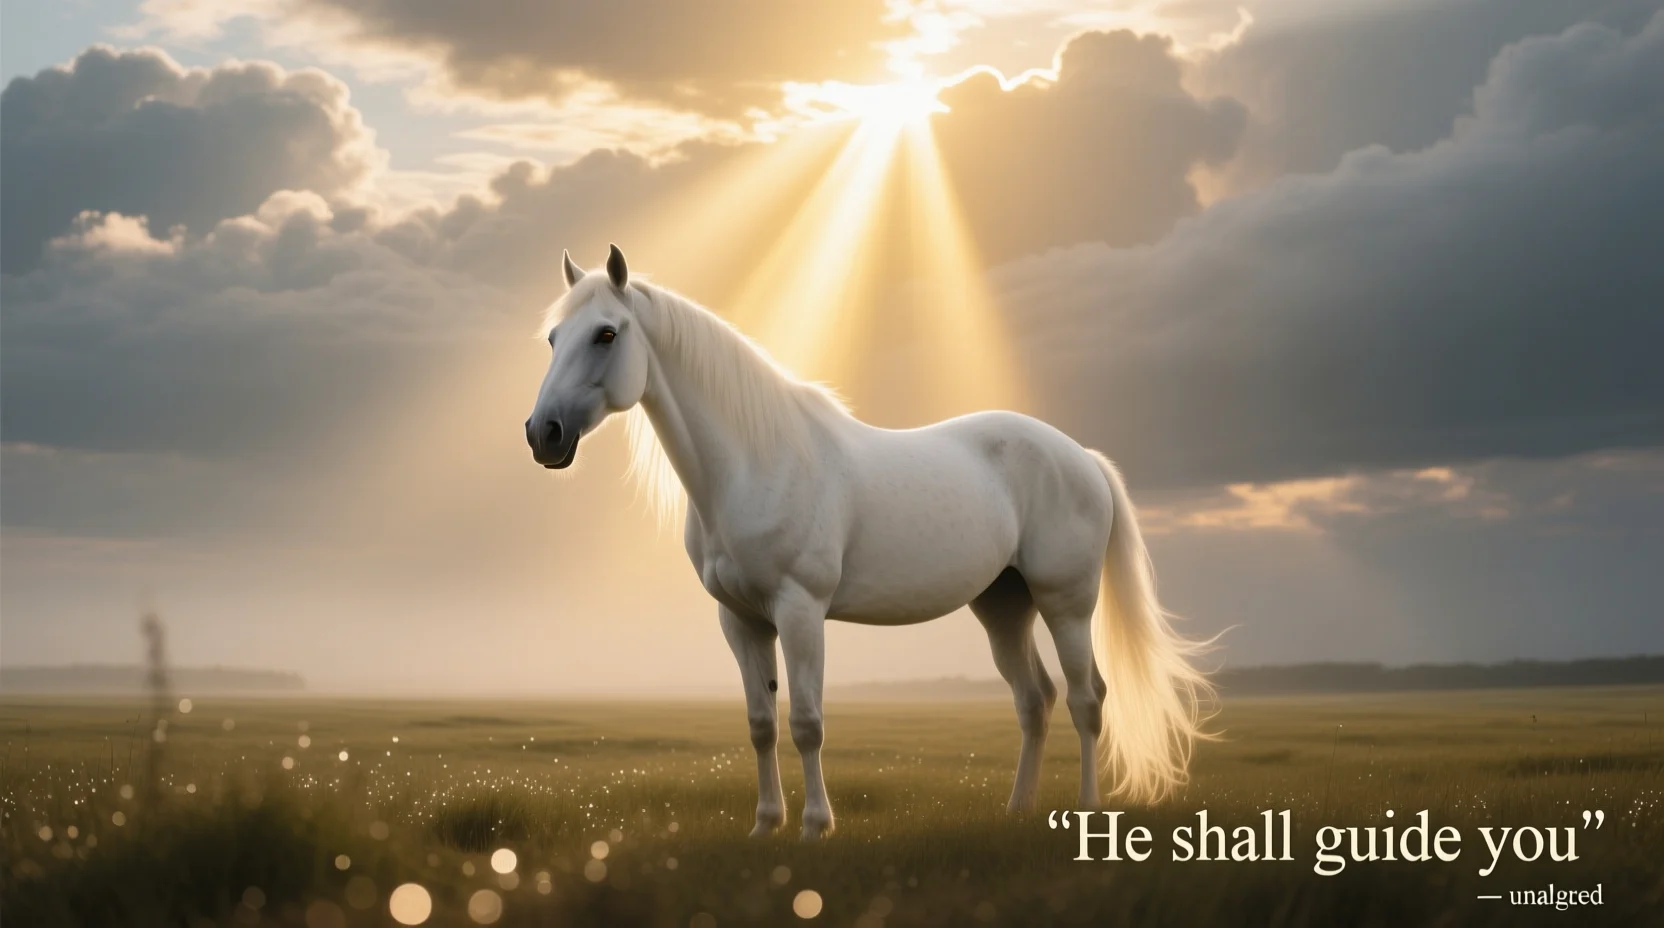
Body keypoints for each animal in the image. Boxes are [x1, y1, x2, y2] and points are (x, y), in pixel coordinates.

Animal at [525, 245, 1214, 839]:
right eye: (555, 338)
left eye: (606, 334)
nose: (543, 434)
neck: (756, 461)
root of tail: (1082, 458)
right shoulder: (740, 620)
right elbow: (760, 725)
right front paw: (765, 826)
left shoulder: (800, 611)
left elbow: (806, 722)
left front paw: (815, 826)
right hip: (1002, 605)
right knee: (1033, 701)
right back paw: (1017, 809)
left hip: (1065, 602)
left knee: (1086, 699)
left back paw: (1088, 813)